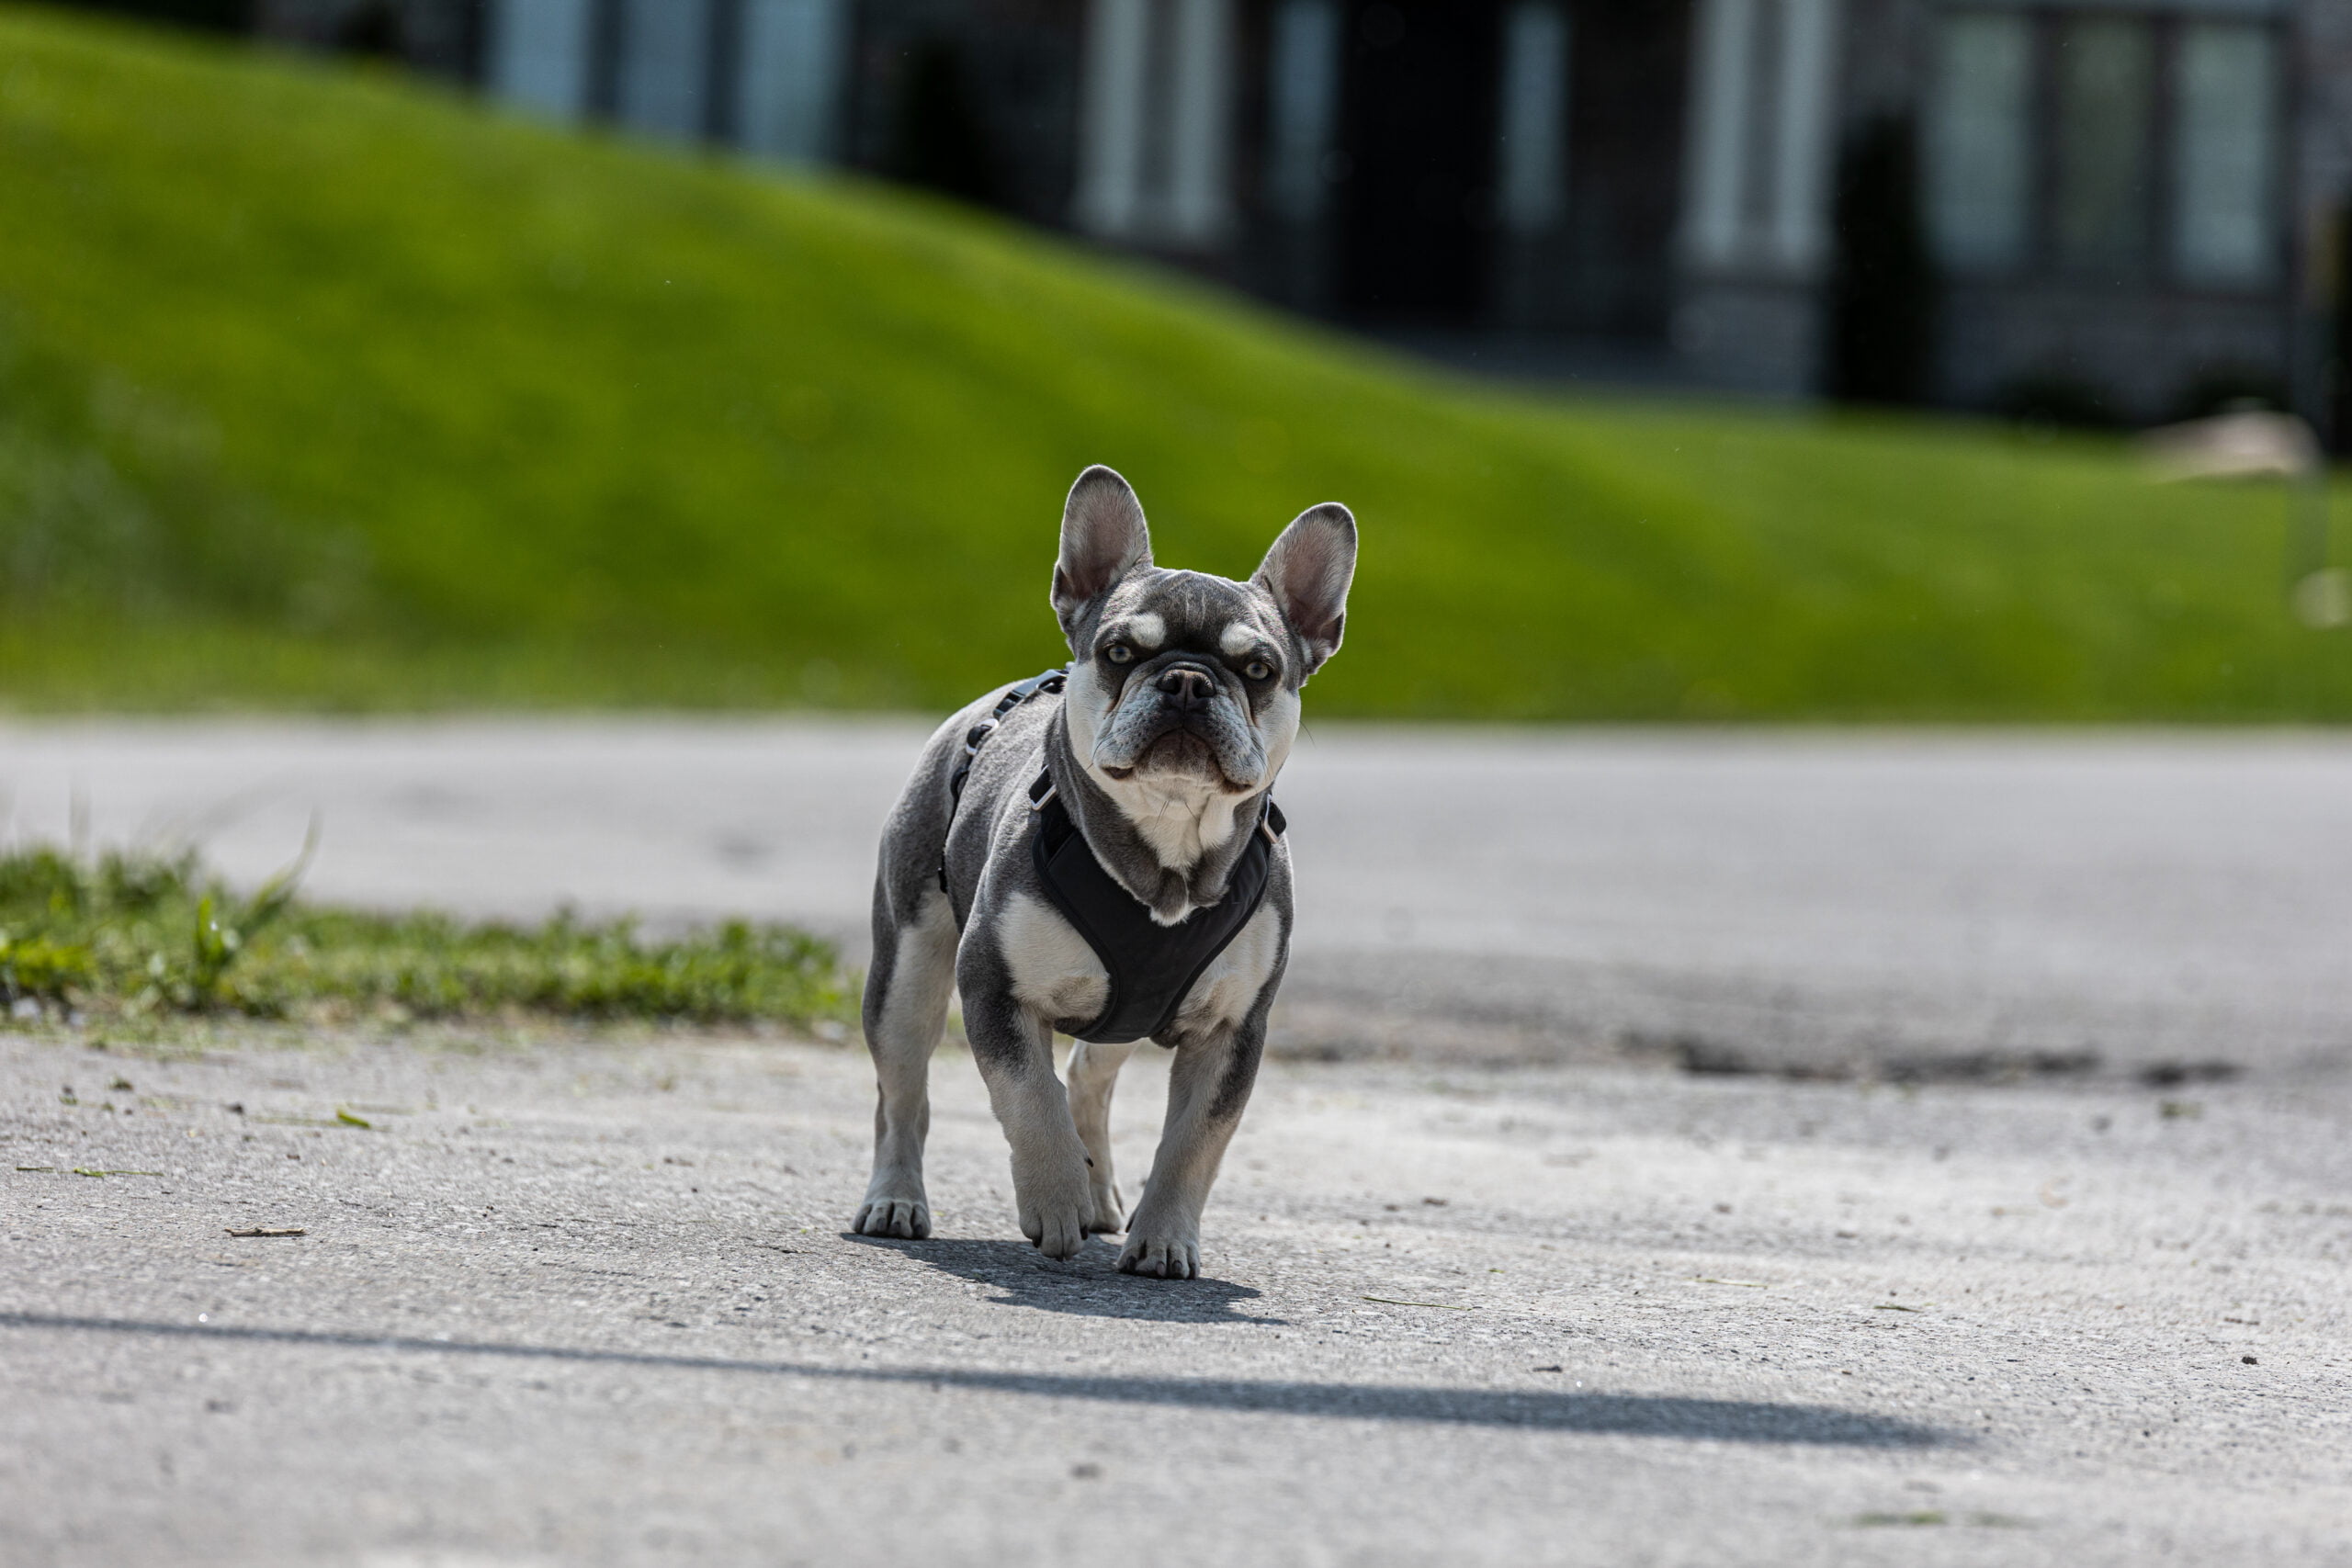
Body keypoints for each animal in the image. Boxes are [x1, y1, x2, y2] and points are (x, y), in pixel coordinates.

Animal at [855, 460, 1354, 1279]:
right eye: (1121, 652)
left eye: (1258, 669)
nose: (1187, 680)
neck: (1167, 853)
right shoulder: (994, 986)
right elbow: (1028, 1096)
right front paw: (1053, 1200)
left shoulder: (1233, 1032)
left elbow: (1194, 1142)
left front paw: (1165, 1238)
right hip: (906, 972)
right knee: (904, 1094)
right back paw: (897, 1200)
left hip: (1129, 1013)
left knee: (1089, 1078)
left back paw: (1099, 1195)